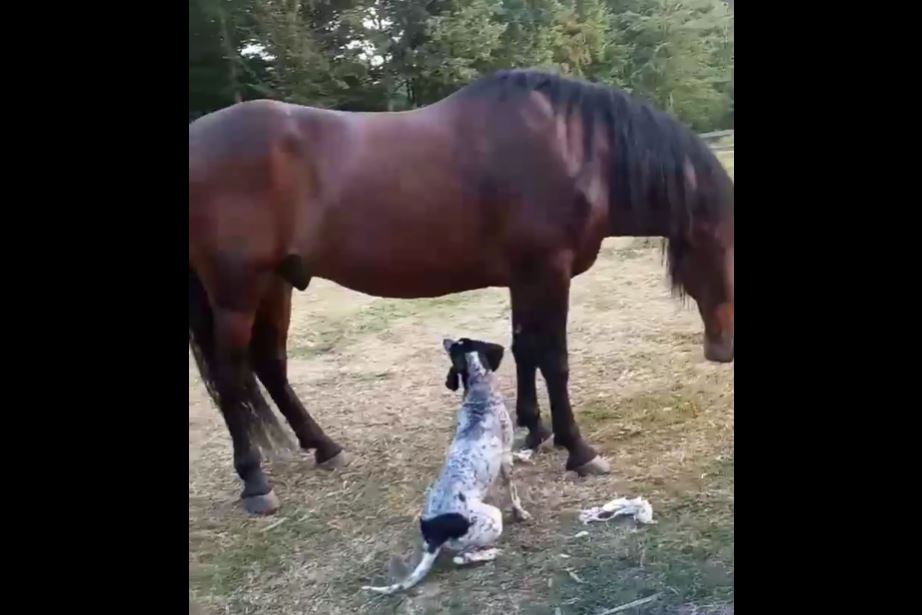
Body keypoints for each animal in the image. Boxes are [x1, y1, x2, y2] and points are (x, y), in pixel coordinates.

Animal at [189, 69, 734, 515]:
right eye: (725, 248)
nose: (722, 349)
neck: (571, 151)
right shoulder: (548, 272)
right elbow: (554, 358)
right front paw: (579, 450)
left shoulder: (526, 277)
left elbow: (524, 349)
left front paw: (534, 429)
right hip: (237, 292)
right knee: (233, 378)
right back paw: (255, 482)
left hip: (277, 283)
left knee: (271, 366)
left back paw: (324, 446)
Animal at [362, 337, 530, 594]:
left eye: (457, 344)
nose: (445, 339)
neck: (479, 399)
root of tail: (435, 535)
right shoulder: (505, 458)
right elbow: (513, 492)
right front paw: (520, 512)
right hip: (492, 520)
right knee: (461, 557)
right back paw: (490, 553)